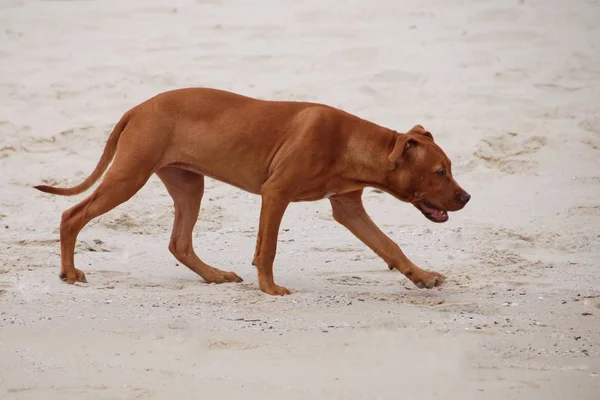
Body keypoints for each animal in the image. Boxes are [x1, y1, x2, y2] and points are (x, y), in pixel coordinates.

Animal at [35, 86, 472, 294]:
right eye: (439, 172)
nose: (466, 198)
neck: (351, 144)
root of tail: (137, 108)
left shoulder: (348, 208)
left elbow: (389, 245)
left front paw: (421, 277)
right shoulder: (276, 194)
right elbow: (269, 247)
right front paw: (270, 288)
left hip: (188, 185)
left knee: (179, 243)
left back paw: (213, 275)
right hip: (130, 176)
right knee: (72, 215)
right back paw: (69, 272)